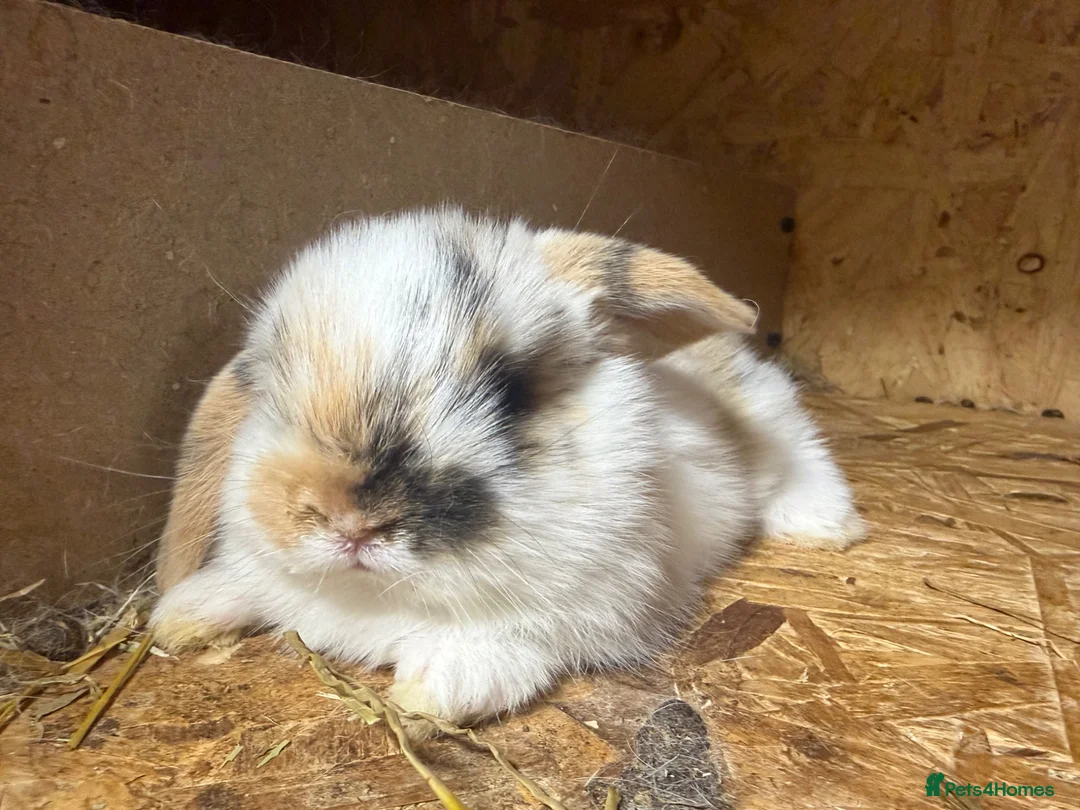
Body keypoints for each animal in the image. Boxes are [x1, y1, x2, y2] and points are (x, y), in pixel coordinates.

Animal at [151, 206, 865, 736]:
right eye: (267, 395)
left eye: (509, 391)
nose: (351, 523)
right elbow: (246, 585)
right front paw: (180, 615)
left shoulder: (587, 609)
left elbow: (501, 646)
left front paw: (430, 690)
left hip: (768, 415)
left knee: (801, 447)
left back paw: (828, 526)